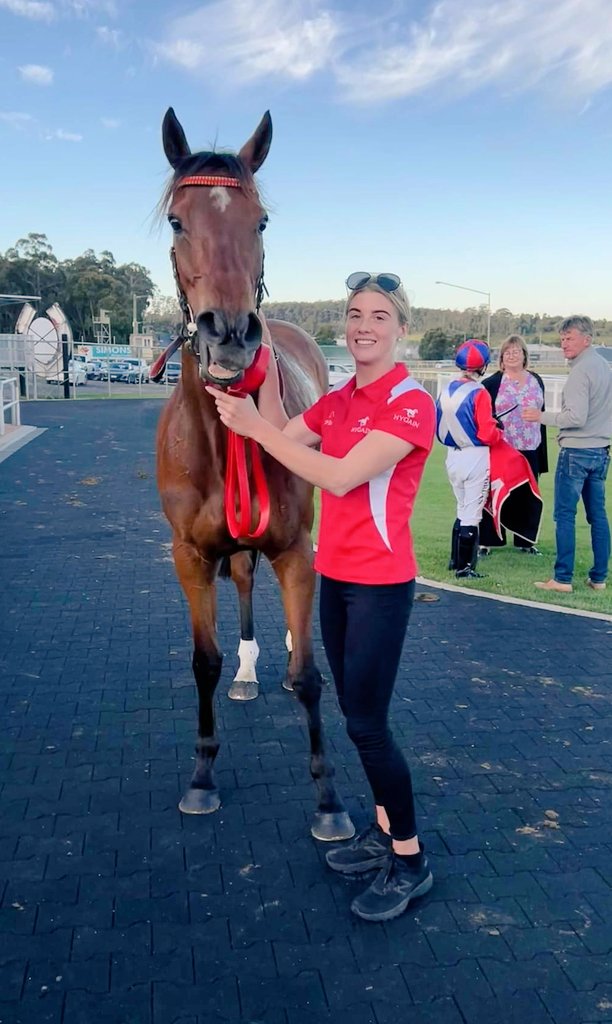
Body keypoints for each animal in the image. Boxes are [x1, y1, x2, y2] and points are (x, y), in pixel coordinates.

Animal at [155, 108, 354, 843]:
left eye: (260, 221)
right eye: (178, 220)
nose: (232, 333)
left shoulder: (293, 547)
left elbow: (310, 675)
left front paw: (328, 798)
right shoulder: (189, 554)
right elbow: (203, 661)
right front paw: (201, 774)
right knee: (241, 581)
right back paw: (245, 669)